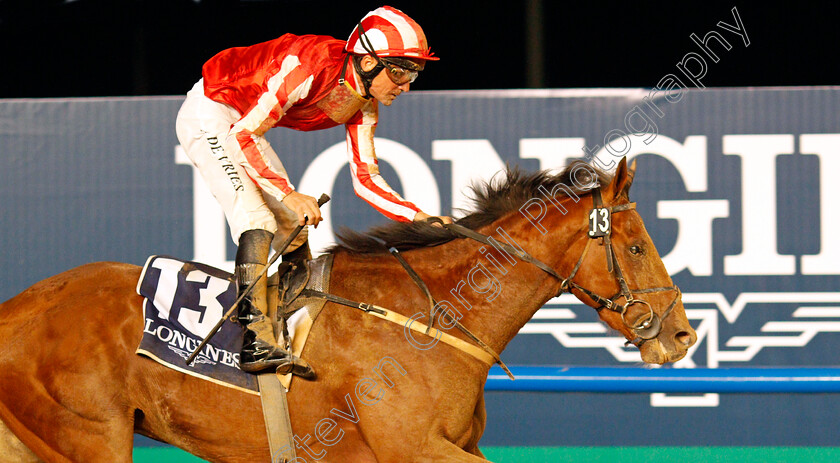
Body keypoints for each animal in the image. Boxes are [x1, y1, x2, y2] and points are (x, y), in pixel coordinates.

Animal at [0, 158, 696, 462]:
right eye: (638, 245)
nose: (683, 336)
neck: (431, 318)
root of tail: (17, 308)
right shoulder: (412, 450)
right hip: (86, 436)